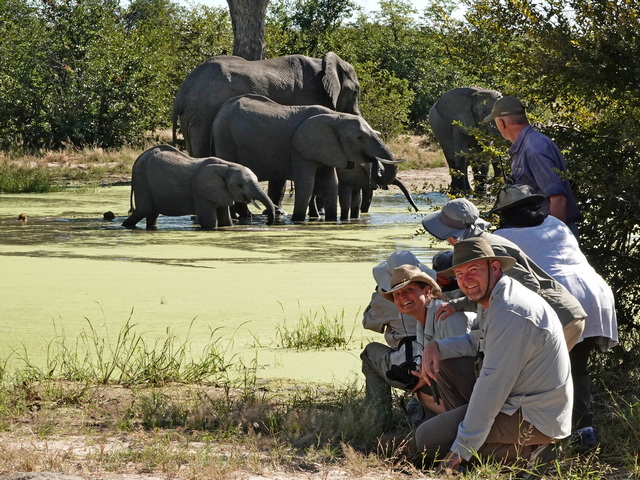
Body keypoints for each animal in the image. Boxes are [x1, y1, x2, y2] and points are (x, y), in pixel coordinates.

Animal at [122, 145, 275, 230]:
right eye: (240, 185)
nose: (268, 223)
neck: (226, 166)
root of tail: (138, 158)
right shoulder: (201, 192)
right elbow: (209, 221)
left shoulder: (221, 191)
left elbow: (225, 220)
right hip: (142, 181)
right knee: (144, 210)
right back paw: (125, 226)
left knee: (152, 214)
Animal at [212, 95, 403, 222]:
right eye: (360, 138)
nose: (373, 159)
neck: (336, 117)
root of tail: (221, 110)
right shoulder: (300, 151)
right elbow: (307, 184)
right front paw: (297, 220)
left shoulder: (327, 150)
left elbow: (331, 184)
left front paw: (332, 221)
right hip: (225, 138)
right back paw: (244, 217)